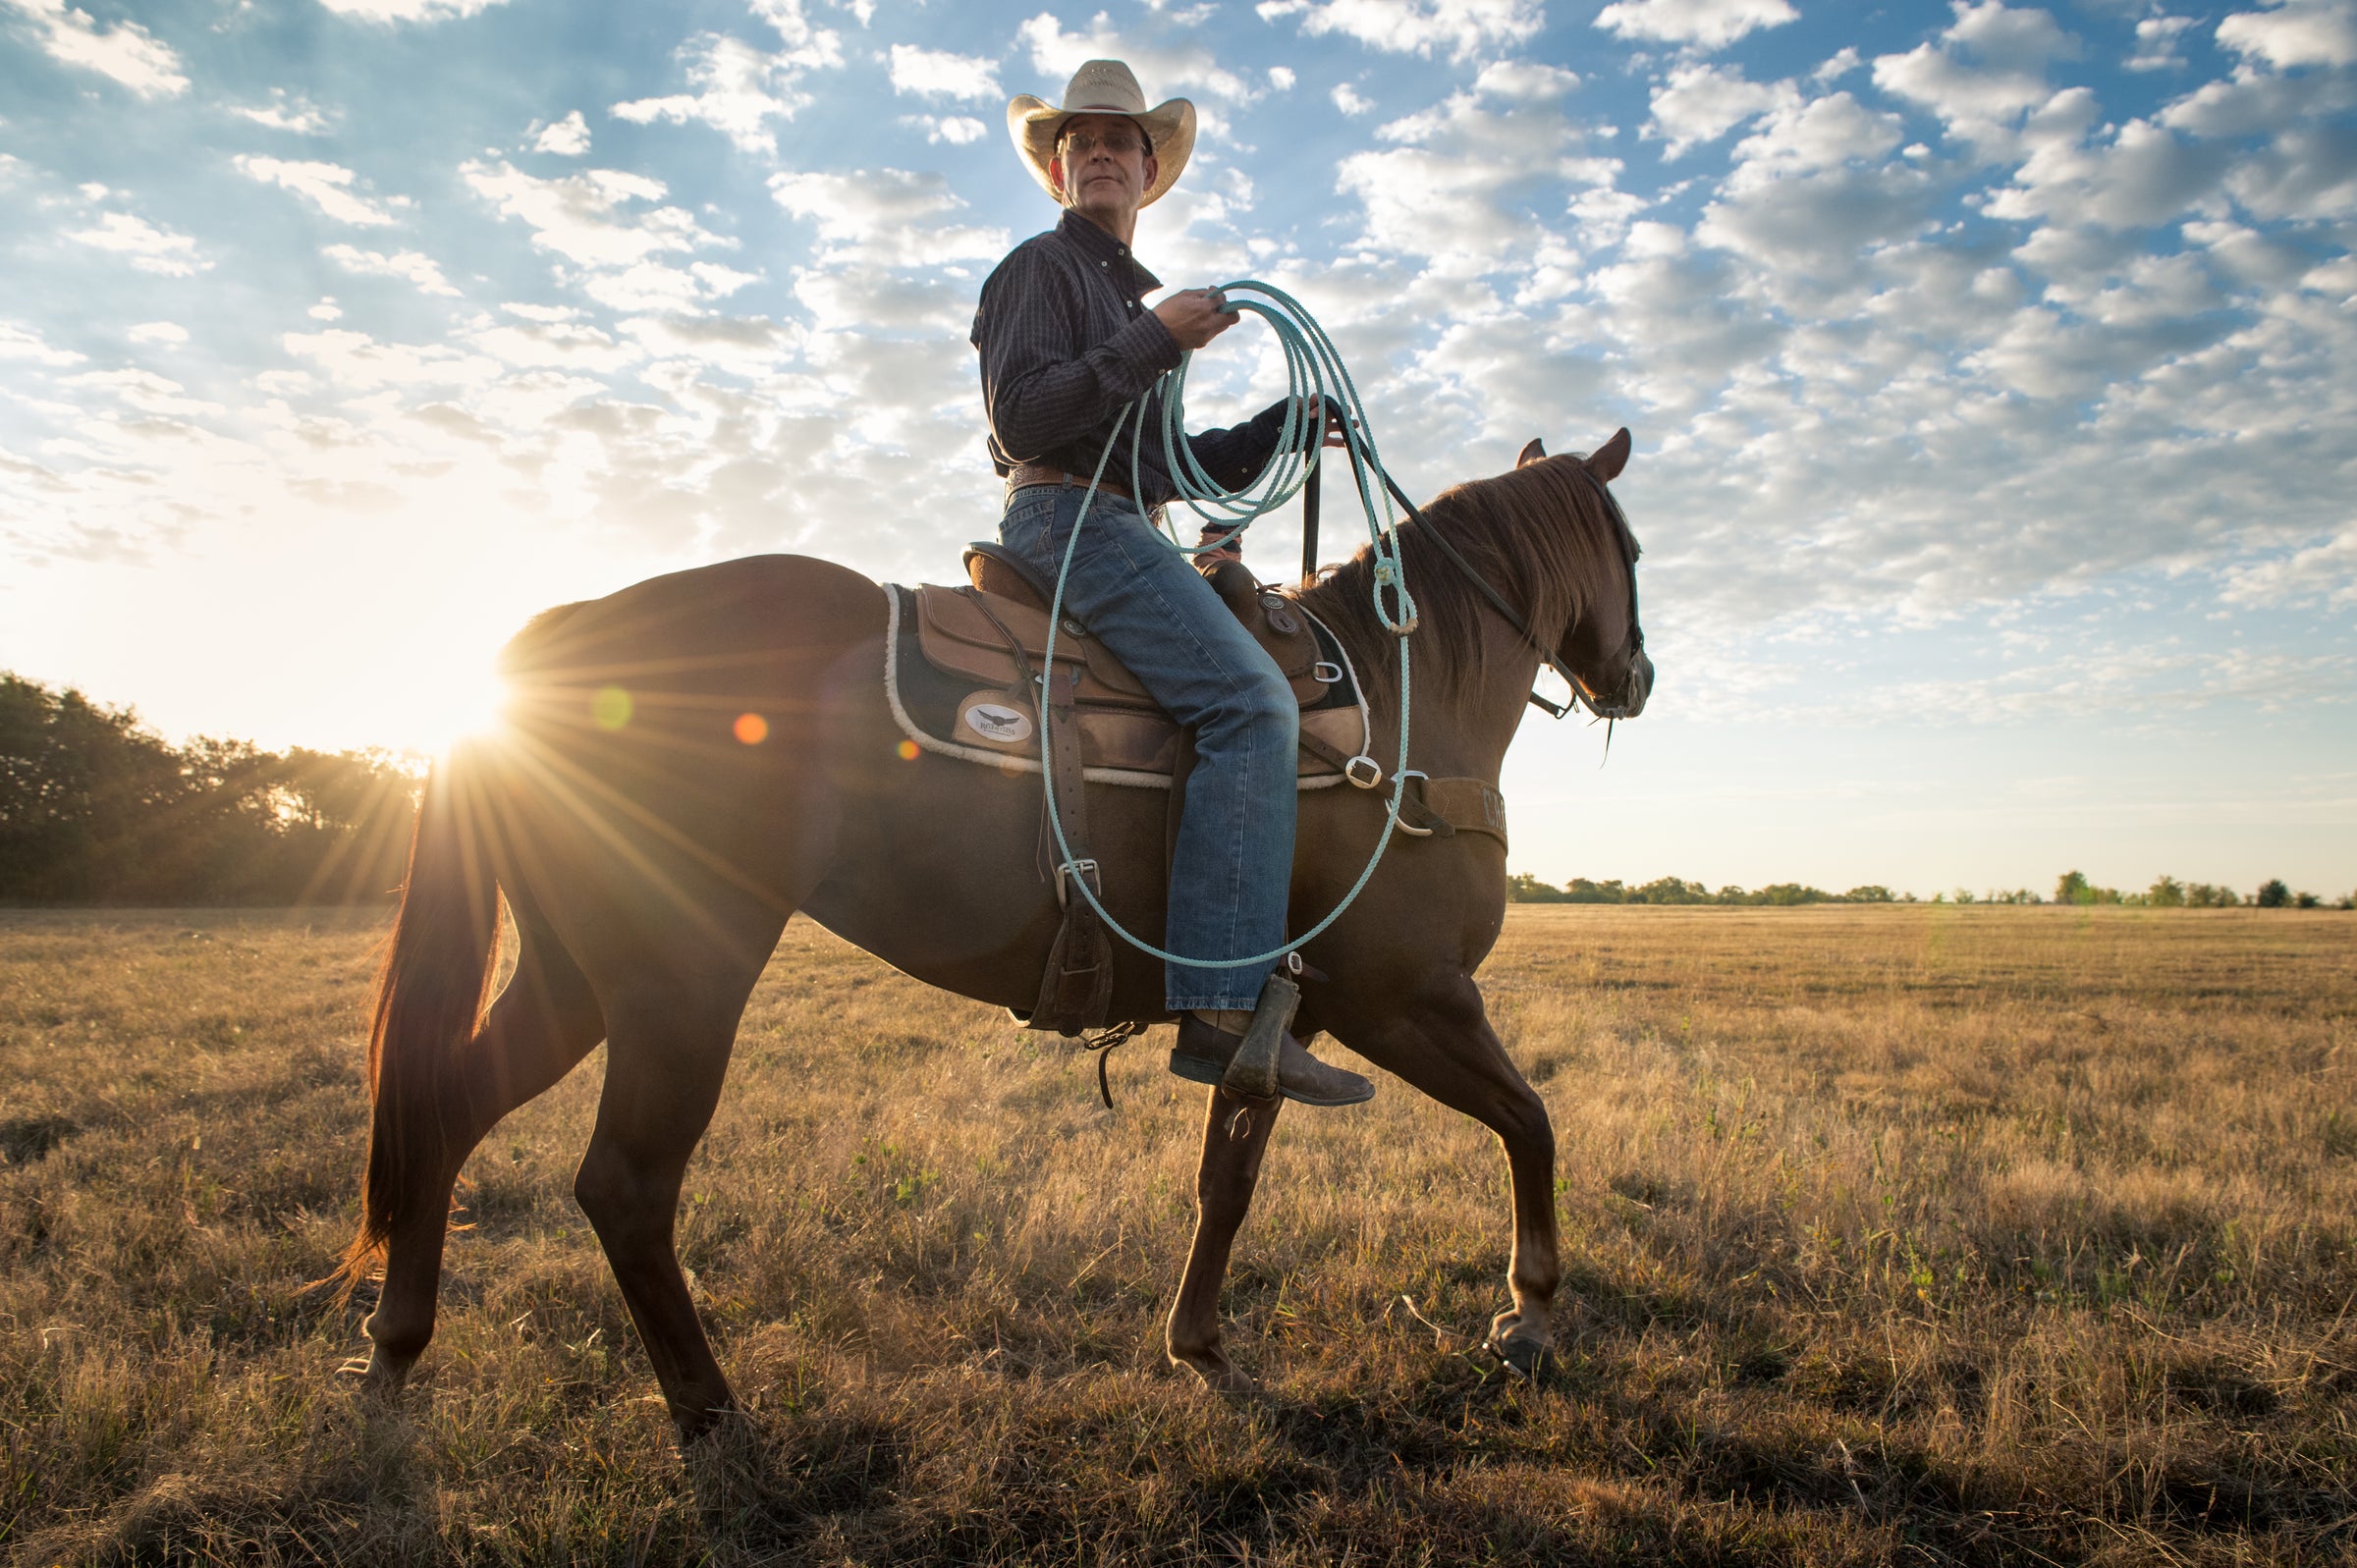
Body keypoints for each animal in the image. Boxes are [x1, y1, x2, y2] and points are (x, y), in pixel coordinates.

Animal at [344, 429, 1640, 1433]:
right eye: (1630, 549)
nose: (1637, 675)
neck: (1403, 700)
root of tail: (553, 639)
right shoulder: (1408, 995)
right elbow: (1531, 1121)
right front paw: (1529, 1312)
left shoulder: (1282, 1022)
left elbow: (1228, 1178)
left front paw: (1201, 1346)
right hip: (681, 980)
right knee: (624, 1185)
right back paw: (712, 1411)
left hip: (575, 973)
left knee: (447, 1110)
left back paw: (397, 1354)